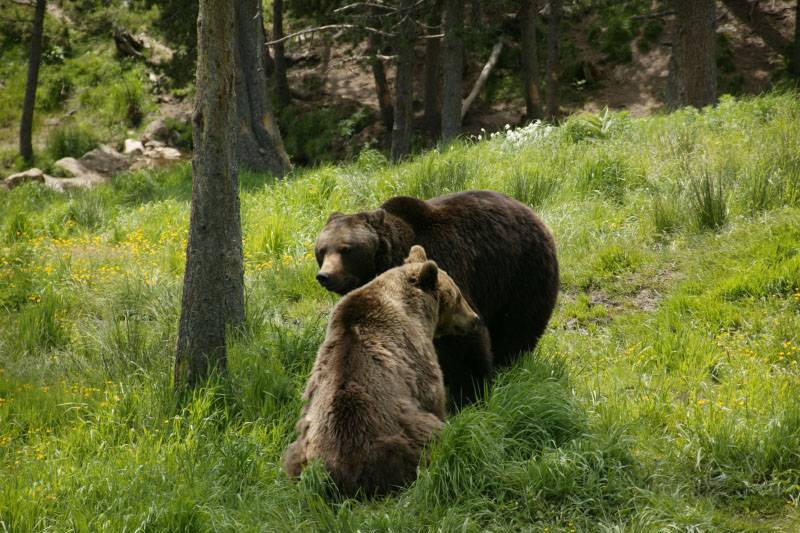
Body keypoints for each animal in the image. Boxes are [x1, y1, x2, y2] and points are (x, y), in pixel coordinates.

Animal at [282, 245, 478, 494]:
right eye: (458, 295)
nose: (475, 318)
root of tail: (343, 471)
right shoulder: (417, 353)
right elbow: (433, 393)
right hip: (404, 436)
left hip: (302, 444)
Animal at [316, 189, 560, 402]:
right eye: (321, 250)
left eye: (346, 249)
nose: (325, 276)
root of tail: (528, 209)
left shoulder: (445, 267)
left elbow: (463, 344)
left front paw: (468, 394)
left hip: (520, 272)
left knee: (517, 326)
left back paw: (509, 363)